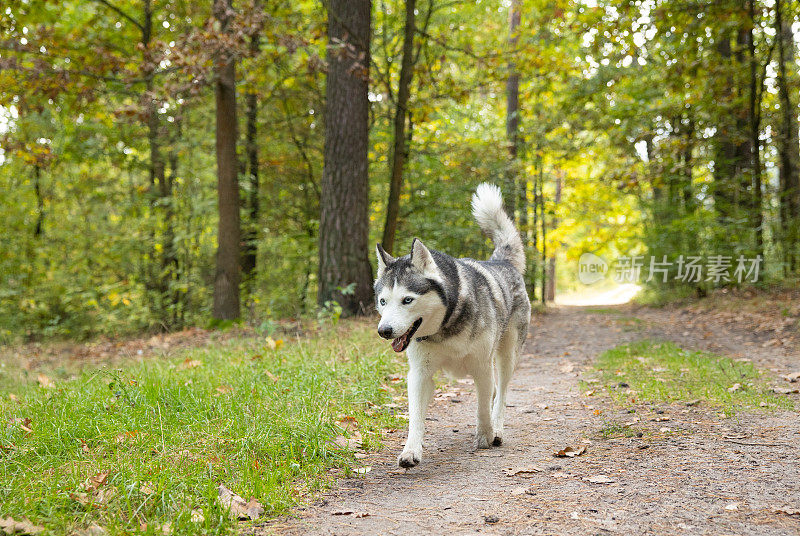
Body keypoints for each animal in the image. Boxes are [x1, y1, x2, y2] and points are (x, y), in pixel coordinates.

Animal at [376, 182, 532, 466]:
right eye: (383, 301)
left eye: (407, 299)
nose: (384, 331)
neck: (446, 325)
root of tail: (500, 261)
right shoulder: (420, 373)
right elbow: (416, 417)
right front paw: (411, 451)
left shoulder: (482, 366)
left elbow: (483, 407)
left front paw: (485, 435)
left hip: (507, 355)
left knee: (501, 394)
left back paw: (497, 429)